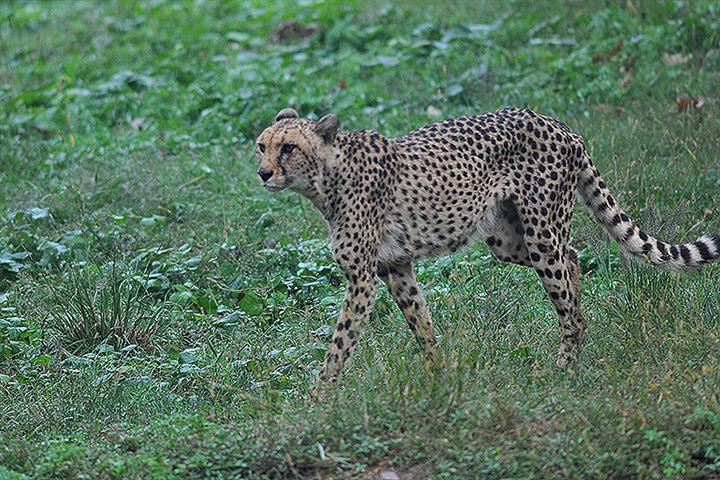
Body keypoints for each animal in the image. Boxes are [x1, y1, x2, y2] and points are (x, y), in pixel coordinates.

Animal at [255, 107, 720, 392]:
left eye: (288, 148)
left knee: (567, 293)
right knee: (572, 260)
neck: (326, 178)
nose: (262, 173)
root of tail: (558, 124)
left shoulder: (362, 278)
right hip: (508, 239)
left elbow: (340, 342)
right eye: (262, 145)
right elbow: (421, 325)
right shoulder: (396, 268)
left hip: (541, 233)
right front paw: (439, 375)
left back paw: (564, 365)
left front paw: (319, 396)